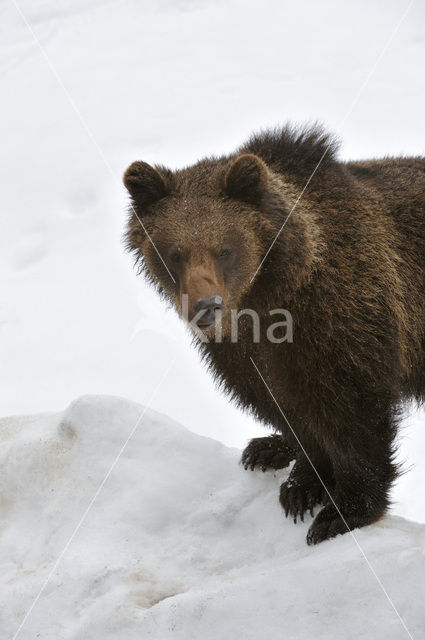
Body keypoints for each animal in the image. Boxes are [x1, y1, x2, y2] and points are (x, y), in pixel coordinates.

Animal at [121, 126, 424, 544]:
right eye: (174, 252)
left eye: (225, 249)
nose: (207, 306)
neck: (265, 301)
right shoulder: (244, 351)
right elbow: (285, 409)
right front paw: (301, 485)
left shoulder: (340, 320)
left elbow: (352, 412)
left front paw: (341, 511)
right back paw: (266, 448)